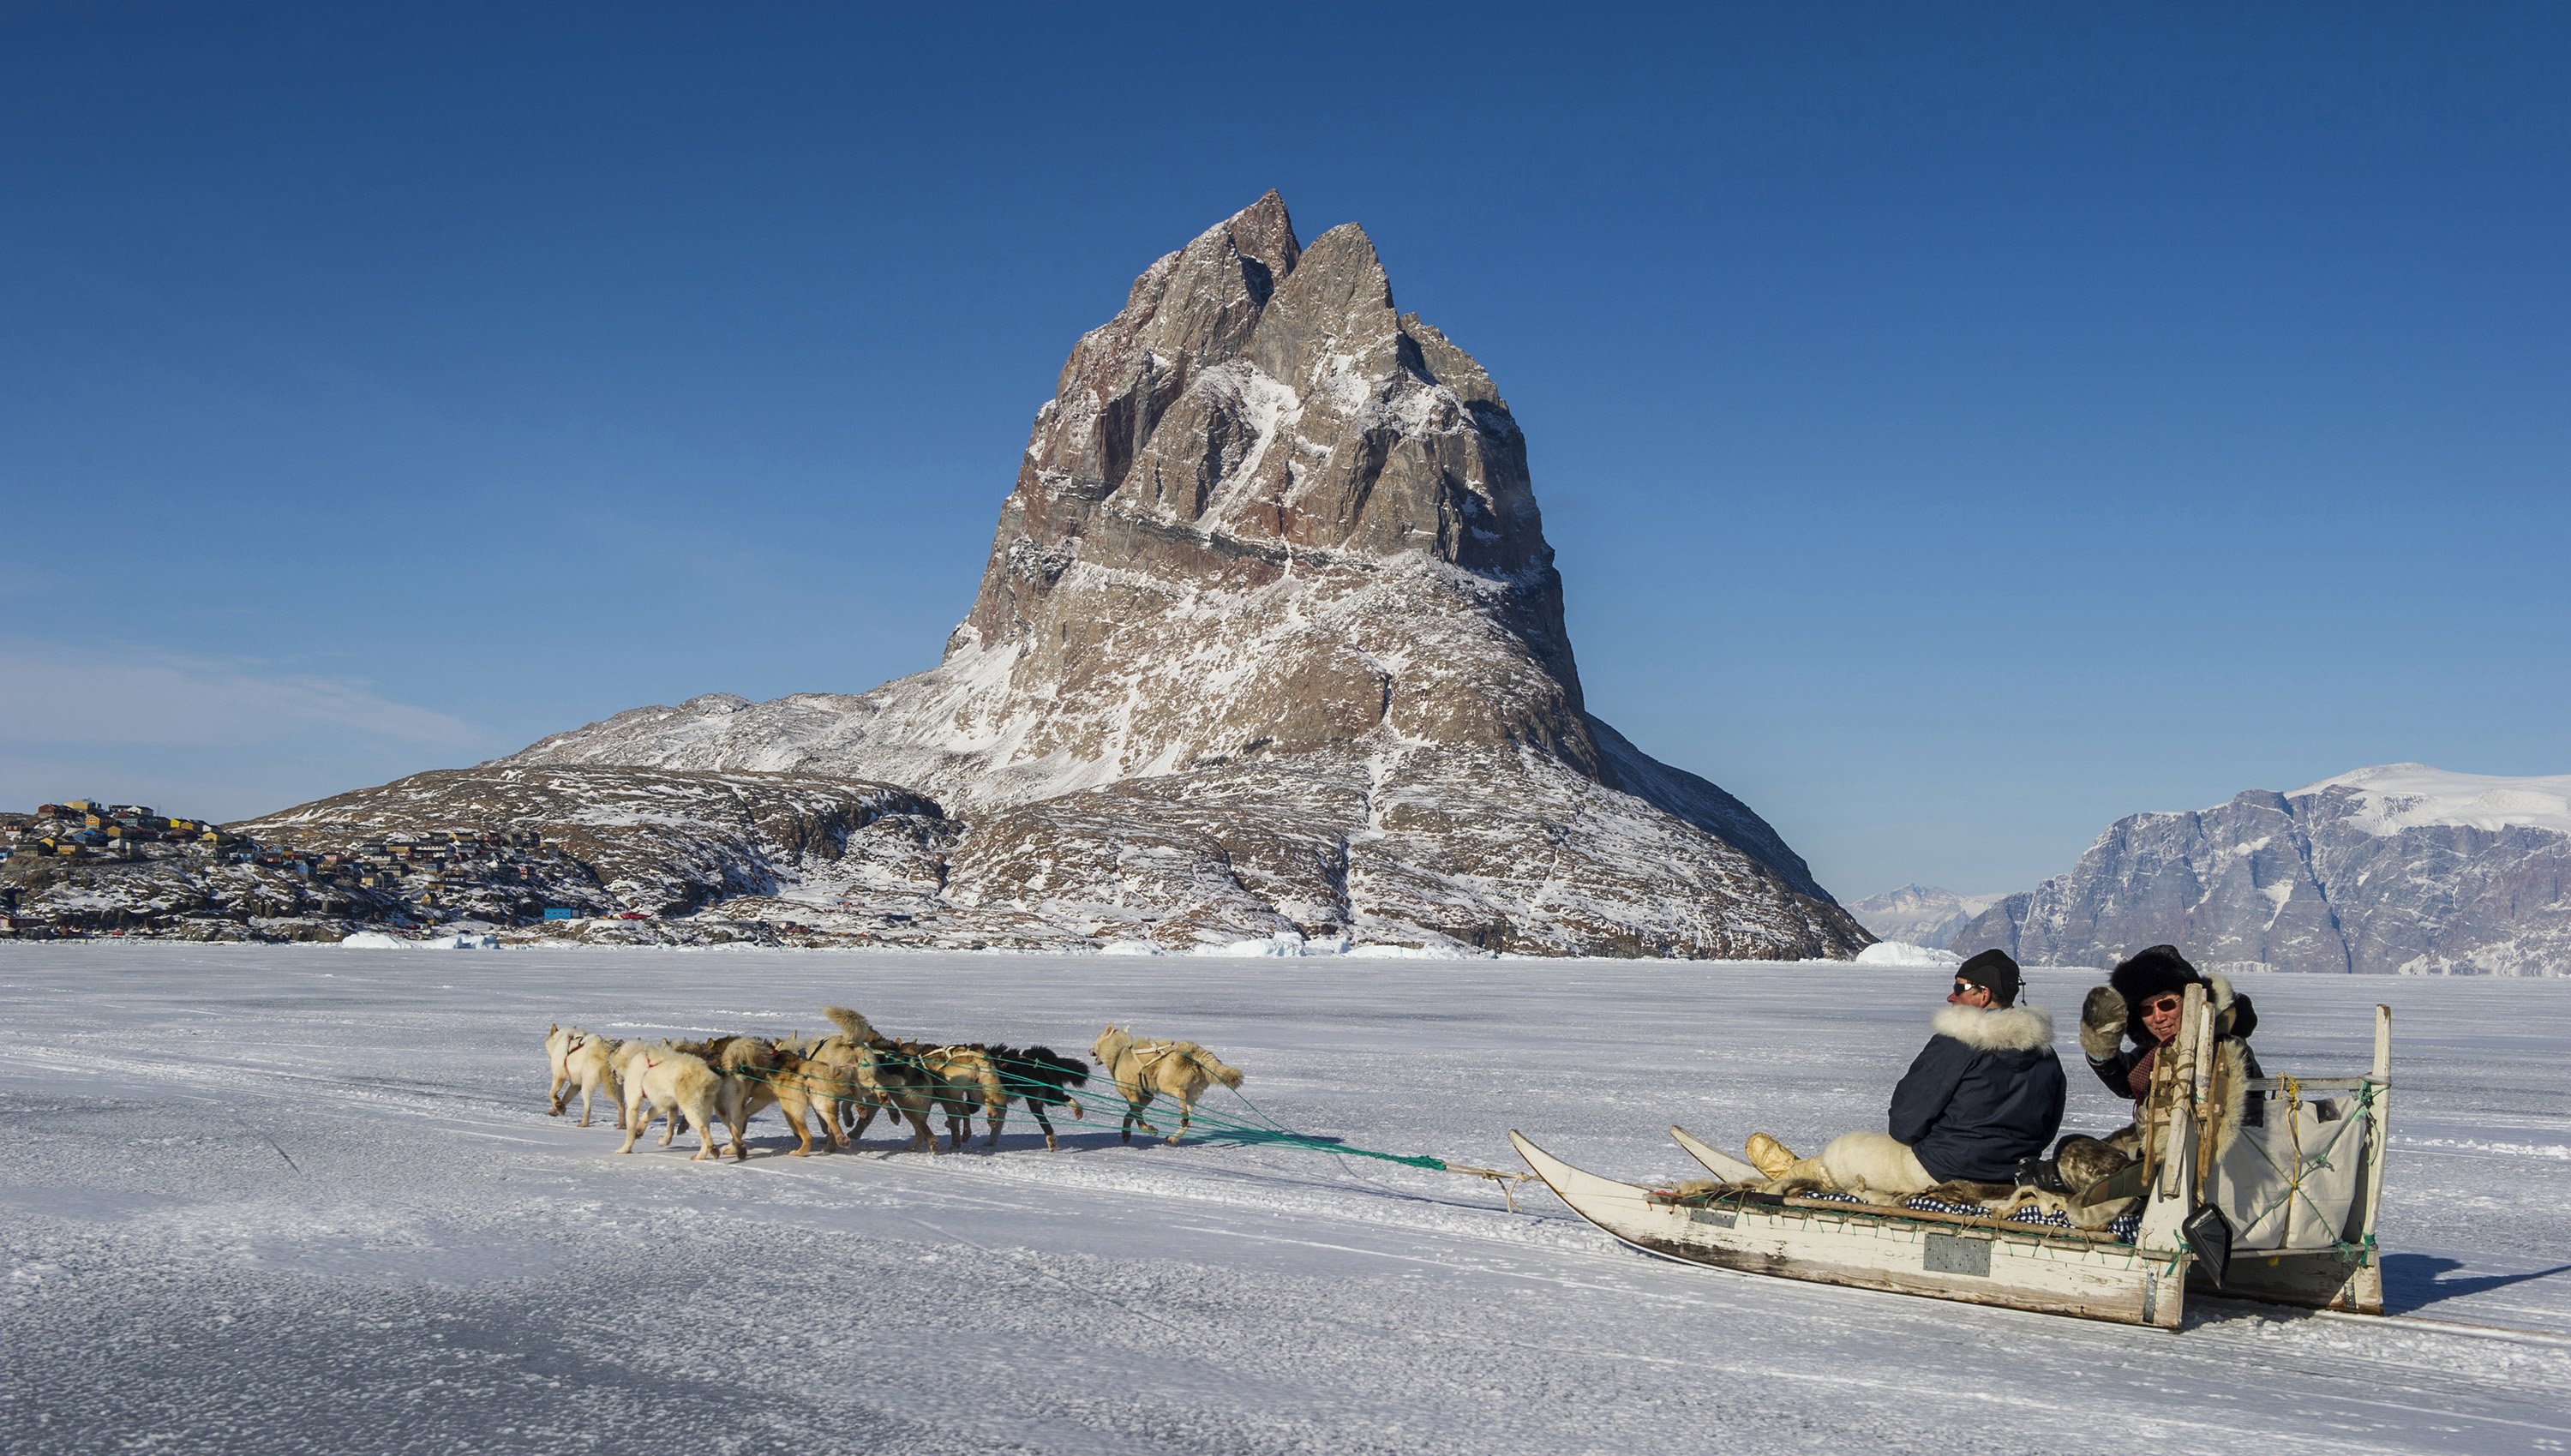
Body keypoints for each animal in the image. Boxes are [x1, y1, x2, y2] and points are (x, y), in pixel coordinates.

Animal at [1090, 1034, 1239, 1147]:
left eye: (1095, 1041)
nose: (1089, 1051)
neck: (1119, 1053)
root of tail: (1193, 1050)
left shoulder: (1134, 1096)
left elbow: (1136, 1116)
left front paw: (1147, 1129)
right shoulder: (1146, 1098)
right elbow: (1129, 1115)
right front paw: (1126, 1135)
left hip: (1165, 1085)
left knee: (1181, 1095)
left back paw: (1182, 1117)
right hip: (1192, 1095)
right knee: (1189, 1121)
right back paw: (1174, 1137)